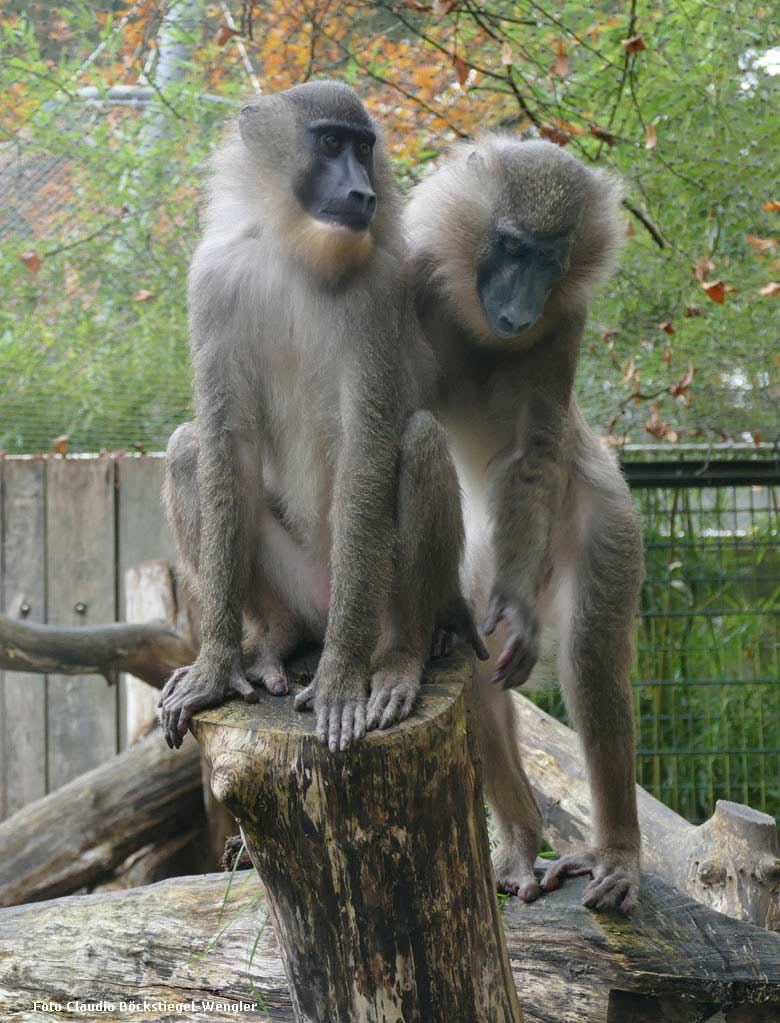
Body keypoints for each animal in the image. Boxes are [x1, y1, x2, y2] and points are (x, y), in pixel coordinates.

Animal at [403, 136, 642, 912]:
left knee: (591, 659)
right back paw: (518, 842)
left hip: (597, 516)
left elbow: (532, 451)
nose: (519, 307)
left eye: (549, 258)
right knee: (474, 674)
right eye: (509, 246)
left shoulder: (567, 318)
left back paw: (616, 854)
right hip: (471, 560)